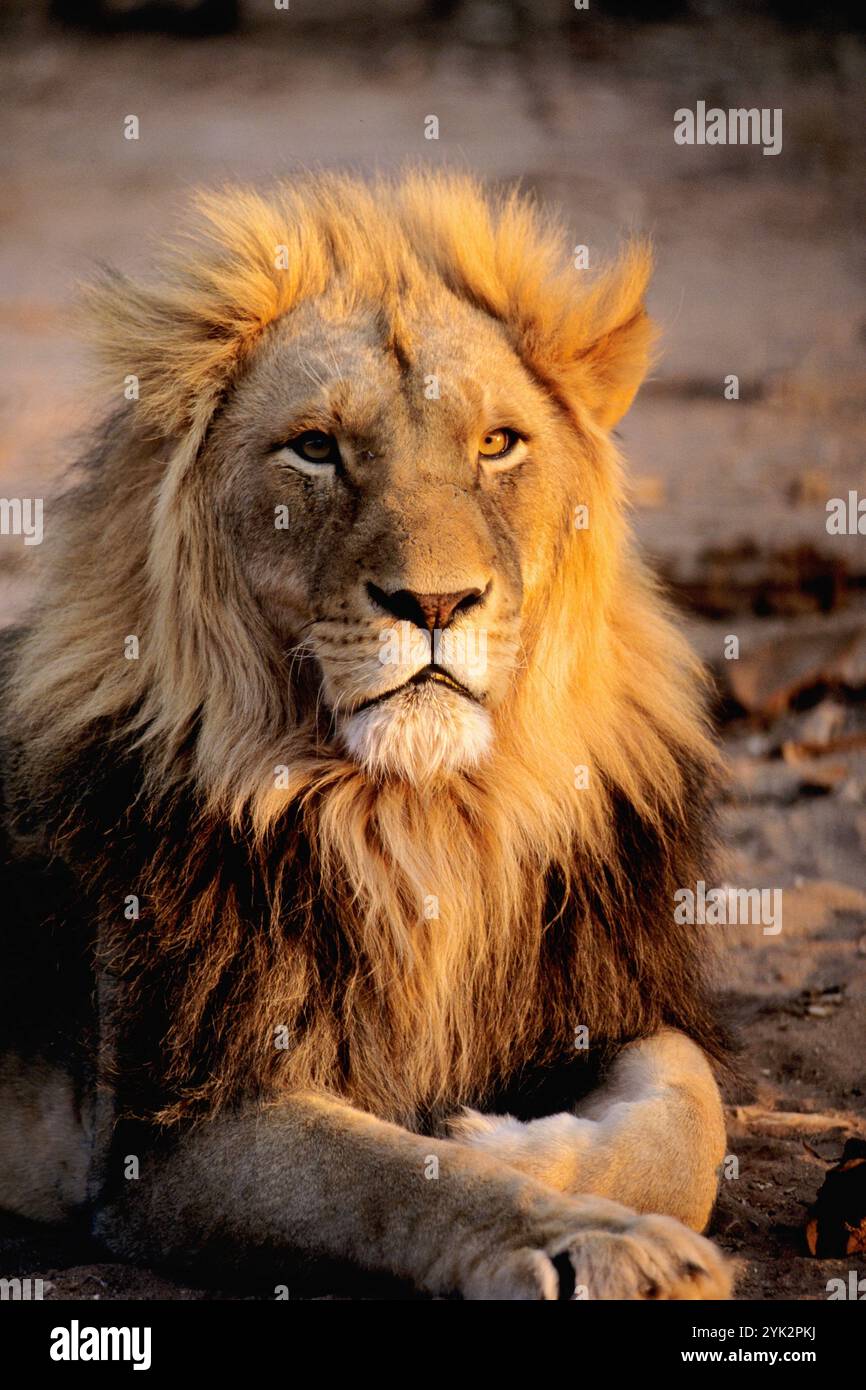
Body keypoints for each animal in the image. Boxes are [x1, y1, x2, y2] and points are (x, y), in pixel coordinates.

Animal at [0, 172, 732, 1300]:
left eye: (496, 444)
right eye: (315, 448)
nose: (434, 602)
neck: (421, 822)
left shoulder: (603, 990)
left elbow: (690, 1112)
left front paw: (507, 1140)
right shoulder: (167, 1127)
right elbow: (395, 1178)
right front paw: (580, 1236)